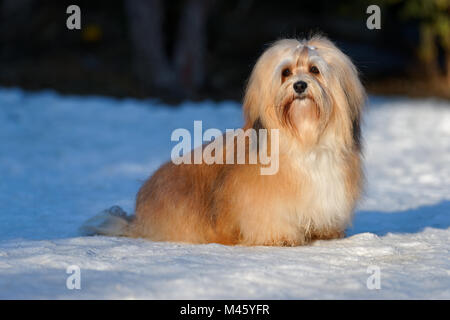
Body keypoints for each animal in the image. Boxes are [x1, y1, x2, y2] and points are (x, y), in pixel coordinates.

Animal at [81, 36, 366, 248]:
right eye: (285, 72)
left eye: (315, 70)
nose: (299, 85)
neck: (304, 139)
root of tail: (138, 218)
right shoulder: (262, 200)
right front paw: (281, 237)